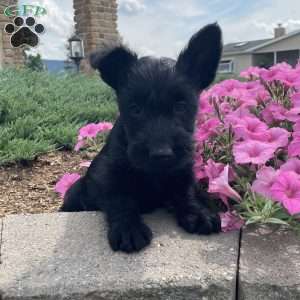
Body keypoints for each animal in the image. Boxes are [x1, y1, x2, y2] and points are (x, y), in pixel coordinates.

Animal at [60, 24, 223, 253]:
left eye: (181, 106)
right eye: (135, 109)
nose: (161, 154)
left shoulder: (182, 170)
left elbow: (186, 191)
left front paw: (198, 213)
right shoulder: (106, 175)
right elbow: (120, 198)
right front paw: (128, 228)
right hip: (75, 191)